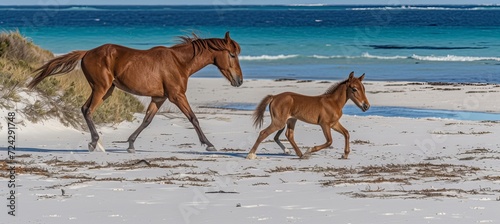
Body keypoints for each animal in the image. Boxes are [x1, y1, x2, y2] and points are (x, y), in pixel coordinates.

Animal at [27, 31, 242, 153]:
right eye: (232, 55)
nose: (239, 80)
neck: (179, 62)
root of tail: (87, 53)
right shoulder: (177, 96)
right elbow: (193, 118)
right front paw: (209, 144)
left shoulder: (159, 98)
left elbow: (147, 120)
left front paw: (130, 144)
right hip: (101, 88)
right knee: (88, 110)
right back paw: (94, 142)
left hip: (105, 90)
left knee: (84, 109)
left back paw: (94, 142)